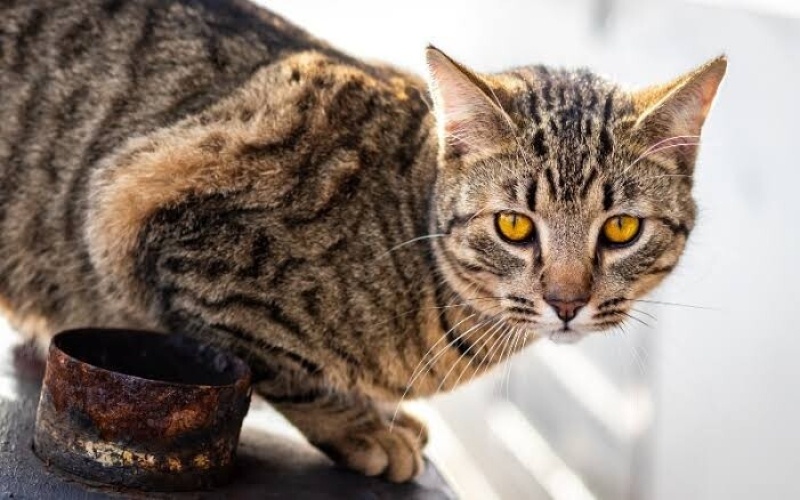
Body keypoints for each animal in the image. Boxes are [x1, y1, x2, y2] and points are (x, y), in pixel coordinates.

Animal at [0, 0, 724, 484]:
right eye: (515, 226)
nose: (567, 303)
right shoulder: (140, 209)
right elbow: (281, 367)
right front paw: (363, 427)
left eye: (621, 229)